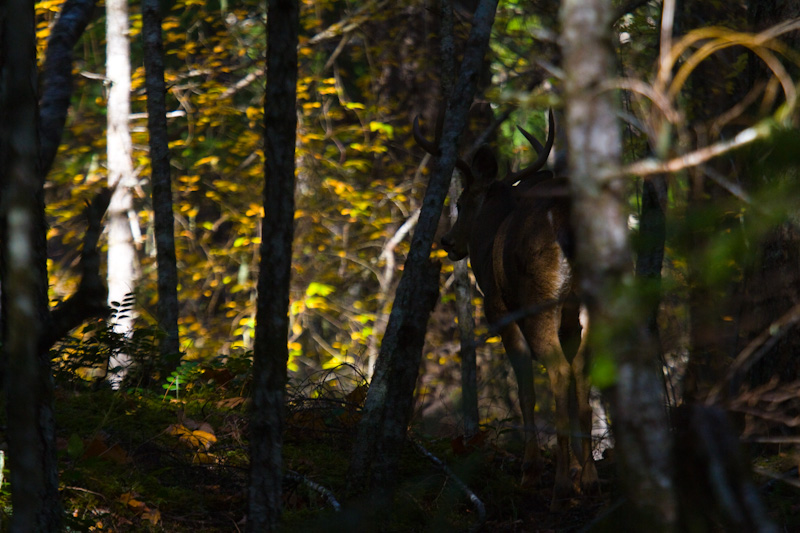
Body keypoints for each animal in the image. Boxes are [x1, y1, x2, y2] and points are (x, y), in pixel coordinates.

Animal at [416, 111, 596, 508]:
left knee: (558, 370)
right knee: (582, 369)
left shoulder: (498, 309)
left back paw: (560, 486)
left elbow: (525, 387)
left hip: (538, 300)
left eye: (462, 200)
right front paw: (580, 472)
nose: (448, 241)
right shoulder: (568, 323)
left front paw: (530, 471)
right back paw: (588, 479)